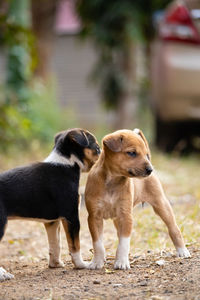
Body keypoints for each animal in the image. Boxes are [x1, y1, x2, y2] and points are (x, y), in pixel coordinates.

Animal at [0, 128, 100, 282]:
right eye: (97, 148)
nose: (103, 153)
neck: (67, 162)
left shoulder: (52, 222)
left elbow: (55, 244)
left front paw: (55, 264)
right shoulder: (71, 216)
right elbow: (74, 245)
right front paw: (81, 264)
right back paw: (3, 274)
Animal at [85, 129, 191, 270]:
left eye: (146, 155)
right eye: (132, 153)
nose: (150, 169)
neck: (112, 181)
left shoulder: (126, 216)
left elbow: (124, 242)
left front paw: (122, 262)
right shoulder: (94, 217)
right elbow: (98, 243)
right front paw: (97, 261)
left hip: (162, 205)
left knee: (174, 229)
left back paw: (182, 251)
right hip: (117, 219)